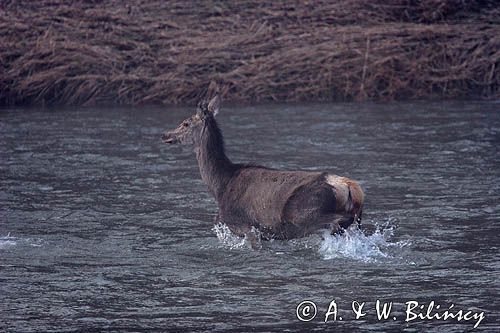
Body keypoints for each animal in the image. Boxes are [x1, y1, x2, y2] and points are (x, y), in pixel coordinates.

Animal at [162, 93, 366, 246]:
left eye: (185, 123)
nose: (165, 135)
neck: (220, 185)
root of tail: (350, 187)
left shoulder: (243, 224)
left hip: (304, 211)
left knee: (338, 221)